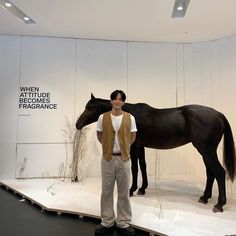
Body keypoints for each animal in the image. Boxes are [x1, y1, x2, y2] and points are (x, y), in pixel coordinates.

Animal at [76, 93, 235, 213]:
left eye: (89, 107)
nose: (78, 124)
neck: (130, 115)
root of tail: (218, 114)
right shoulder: (141, 146)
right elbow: (143, 166)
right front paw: (142, 188)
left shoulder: (134, 147)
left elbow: (135, 168)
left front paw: (131, 190)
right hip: (205, 152)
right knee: (211, 173)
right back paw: (204, 197)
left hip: (207, 151)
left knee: (219, 172)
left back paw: (219, 204)